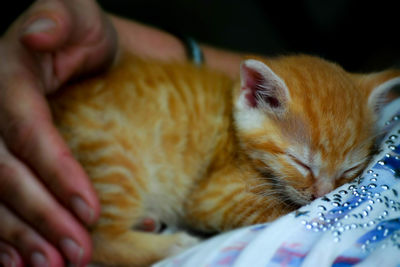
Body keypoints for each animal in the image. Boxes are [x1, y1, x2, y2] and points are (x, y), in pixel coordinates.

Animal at [48, 51, 398, 266]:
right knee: (97, 240)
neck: (233, 132)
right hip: (117, 160)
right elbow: (277, 212)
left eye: (349, 169)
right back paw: (173, 245)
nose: (323, 194)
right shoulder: (212, 195)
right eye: (301, 163)